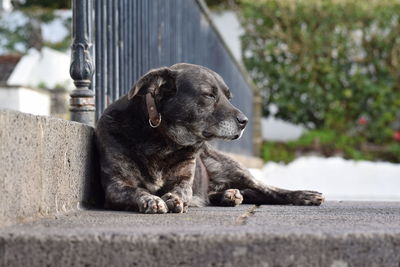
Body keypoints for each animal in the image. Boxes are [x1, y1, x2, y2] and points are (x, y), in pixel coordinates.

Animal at [95, 62, 324, 214]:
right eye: (209, 95)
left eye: (228, 97)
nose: (245, 121)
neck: (162, 141)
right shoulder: (116, 187)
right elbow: (136, 191)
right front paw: (151, 199)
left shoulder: (184, 181)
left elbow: (182, 191)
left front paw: (174, 198)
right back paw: (228, 196)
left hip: (231, 168)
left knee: (267, 189)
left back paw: (304, 195)